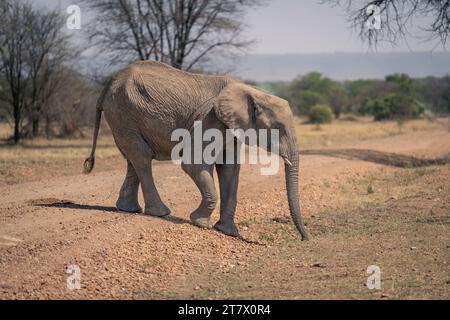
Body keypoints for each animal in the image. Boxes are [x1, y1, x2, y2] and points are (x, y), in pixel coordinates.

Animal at [83, 60, 310, 240]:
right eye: (278, 129)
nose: (304, 238)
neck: (253, 92)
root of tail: (110, 82)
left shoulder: (231, 127)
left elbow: (229, 170)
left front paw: (228, 232)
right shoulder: (210, 120)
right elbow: (194, 164)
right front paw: (200, 223)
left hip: (123, 116)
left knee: (133, 158)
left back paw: (128, 209)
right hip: (122, 112)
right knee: (142, 157)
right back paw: (160, 213)